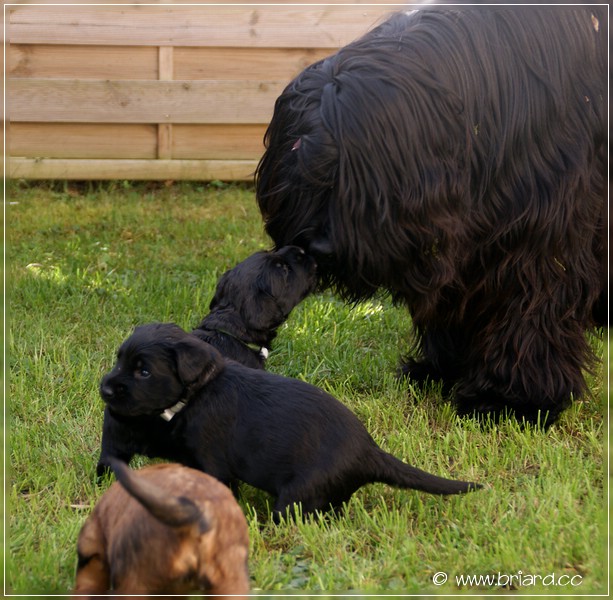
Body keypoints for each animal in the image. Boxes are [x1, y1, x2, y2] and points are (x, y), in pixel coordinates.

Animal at [95, 324, 480, 520]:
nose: (105, 388)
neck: (200, 391)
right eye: (119, 360)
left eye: (143, 371)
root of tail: (368, 451)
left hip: (299, 493)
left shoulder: (213, 462)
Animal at [255, 5, 608, 426]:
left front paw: (511, 399)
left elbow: (530, 302)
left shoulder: (540, 230)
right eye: (300, 176)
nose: (320, 247)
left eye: (357, 180)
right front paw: (441, 369)